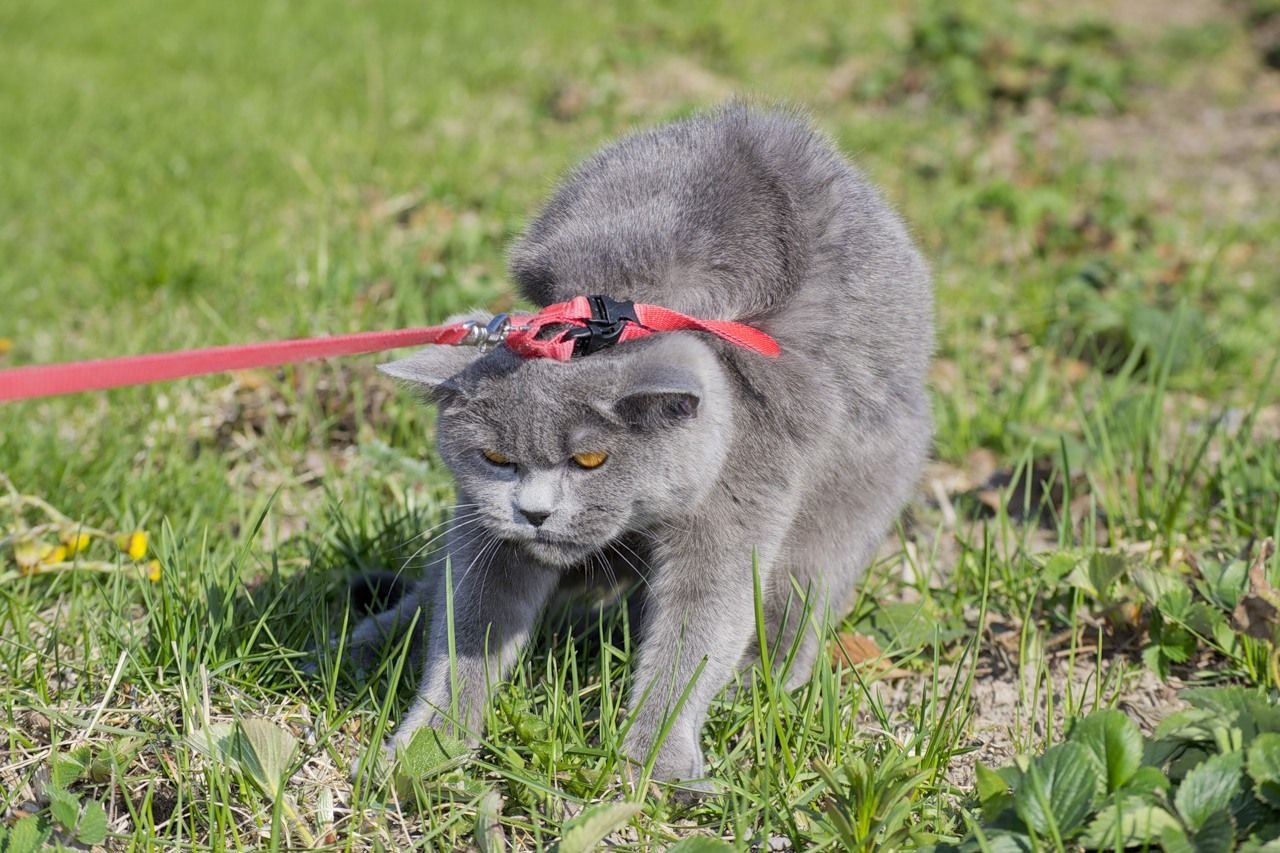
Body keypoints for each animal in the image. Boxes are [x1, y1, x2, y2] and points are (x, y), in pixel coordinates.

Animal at [355, 104, 936, 783]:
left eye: (591, 459)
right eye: (496, 459)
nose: (534, 512)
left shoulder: (739, 491)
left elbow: (698, 632)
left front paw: (651, 760)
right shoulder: (486, 529)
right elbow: (469, 621)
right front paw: (429, 744)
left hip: (849, 499)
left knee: (798, 597)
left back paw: (757, 682)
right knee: (436, 590)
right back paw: (367, 636)